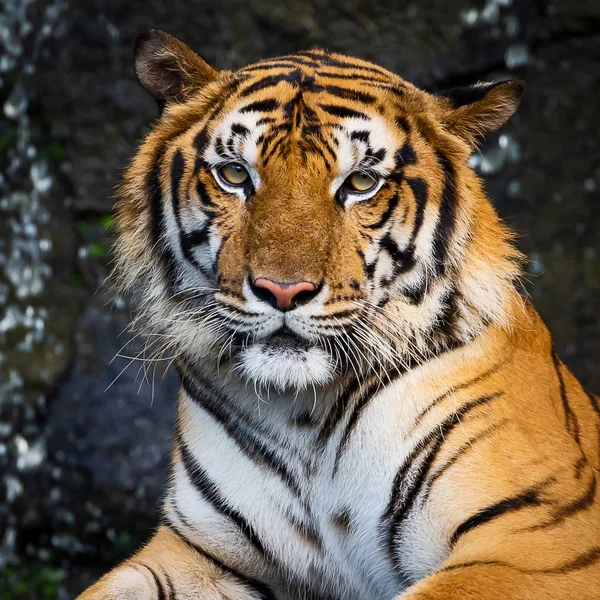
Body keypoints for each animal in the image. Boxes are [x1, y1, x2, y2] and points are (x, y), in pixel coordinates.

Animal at [77, 30, 596, 600]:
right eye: (236, 174)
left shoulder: (537, 539)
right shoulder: (202, 549)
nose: (283, 291)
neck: (304, 417)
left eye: (361, 182)